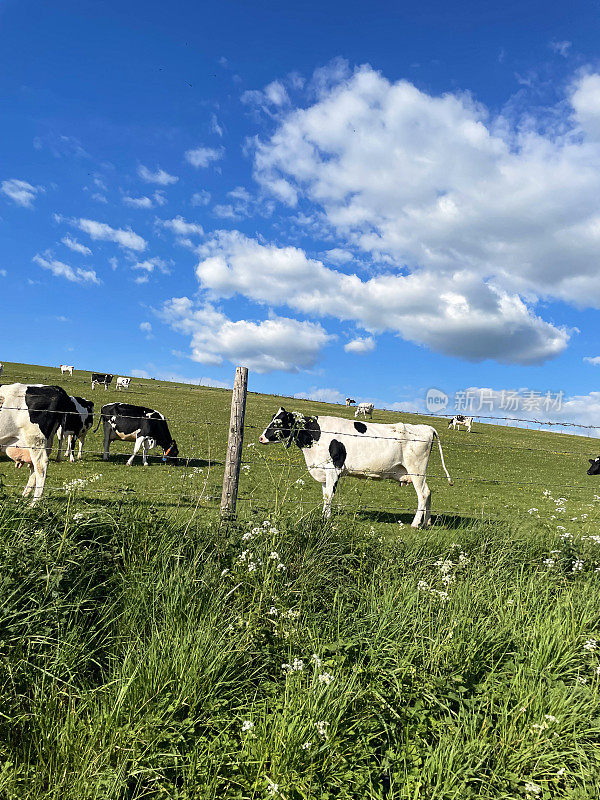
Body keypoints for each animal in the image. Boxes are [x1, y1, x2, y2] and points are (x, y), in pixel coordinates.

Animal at [256, 410, 450, 528]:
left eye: (278, 422)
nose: (261, 438)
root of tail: (426, 427)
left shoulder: (333, 468)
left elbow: (329, 496)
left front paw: (326, 518)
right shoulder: (323, 471)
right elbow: (325, 495)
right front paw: (323, 516)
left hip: (416, 469)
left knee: (423, 494)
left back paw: (415, 524)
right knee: (429, 492)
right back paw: (426, 523)